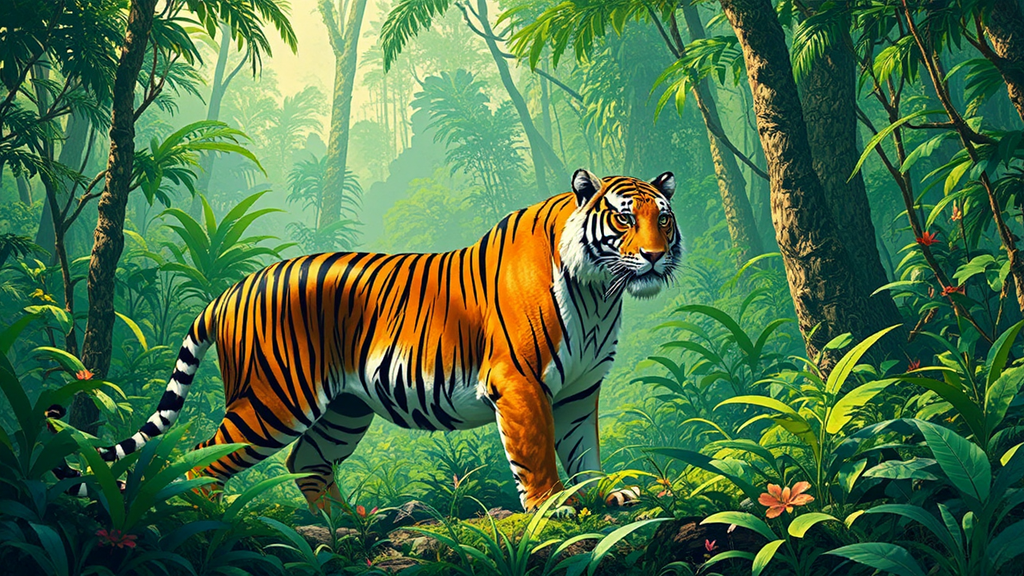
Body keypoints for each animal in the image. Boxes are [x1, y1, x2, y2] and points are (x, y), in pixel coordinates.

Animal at [95, 169, 680, 511]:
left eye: (664, 218)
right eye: (623, 219)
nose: (656, 256)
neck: (600, 293)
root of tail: (231, 289)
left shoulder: (580, 390)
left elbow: (585, 450)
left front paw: (607, 494)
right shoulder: (520, 383)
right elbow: (536, 454)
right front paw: (552, 509)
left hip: (344, 409)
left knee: (305, 462)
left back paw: (345, 528)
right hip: (272, 401)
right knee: (202, 458)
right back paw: (216, 523)